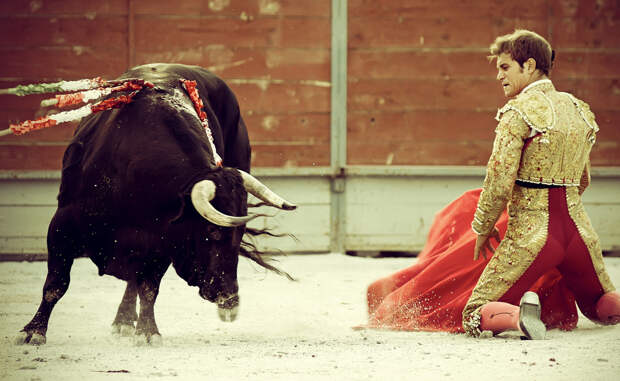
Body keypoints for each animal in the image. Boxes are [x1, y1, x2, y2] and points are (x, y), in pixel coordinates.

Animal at [15, 64, 296, 344]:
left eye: (239, 234)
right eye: (213, 231)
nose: (229, 299)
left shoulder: (161, 241)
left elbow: (149, 288)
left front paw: (148, 332)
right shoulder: (62, 224)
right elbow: (56, 284)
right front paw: (33, 331)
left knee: (135, 282)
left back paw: (124, 320)